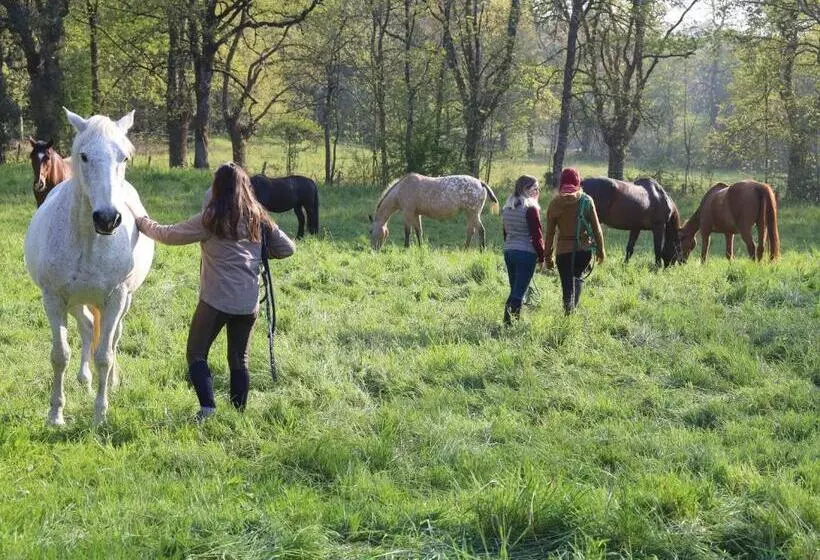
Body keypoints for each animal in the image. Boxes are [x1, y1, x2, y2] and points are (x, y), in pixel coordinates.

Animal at [24, 108, 154, 425]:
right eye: (83, 156)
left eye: (125, 157)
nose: (107, 219)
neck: (89, 241)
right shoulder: (54, 298)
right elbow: (60, 355)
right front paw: (56, 414)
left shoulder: (116, 298)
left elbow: (105, 355)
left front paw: (100, 415)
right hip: (75, 301)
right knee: (86, 326)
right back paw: (84, 378)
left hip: (123, 302)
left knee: (112, 338)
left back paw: (110, 382)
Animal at [369, 173, 499, 250]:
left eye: (370, 232)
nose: (373, 249)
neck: (402, 188)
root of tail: (480, 183)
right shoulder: (416, 214)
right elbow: (418, 231)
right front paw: (420, 247)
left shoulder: (407, 213)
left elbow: (407, 232)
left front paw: (406, 248)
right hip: (469, 214)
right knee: (471, 231)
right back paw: (465, 249)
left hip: (473, 214)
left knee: (481, 230)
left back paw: (482, 250)